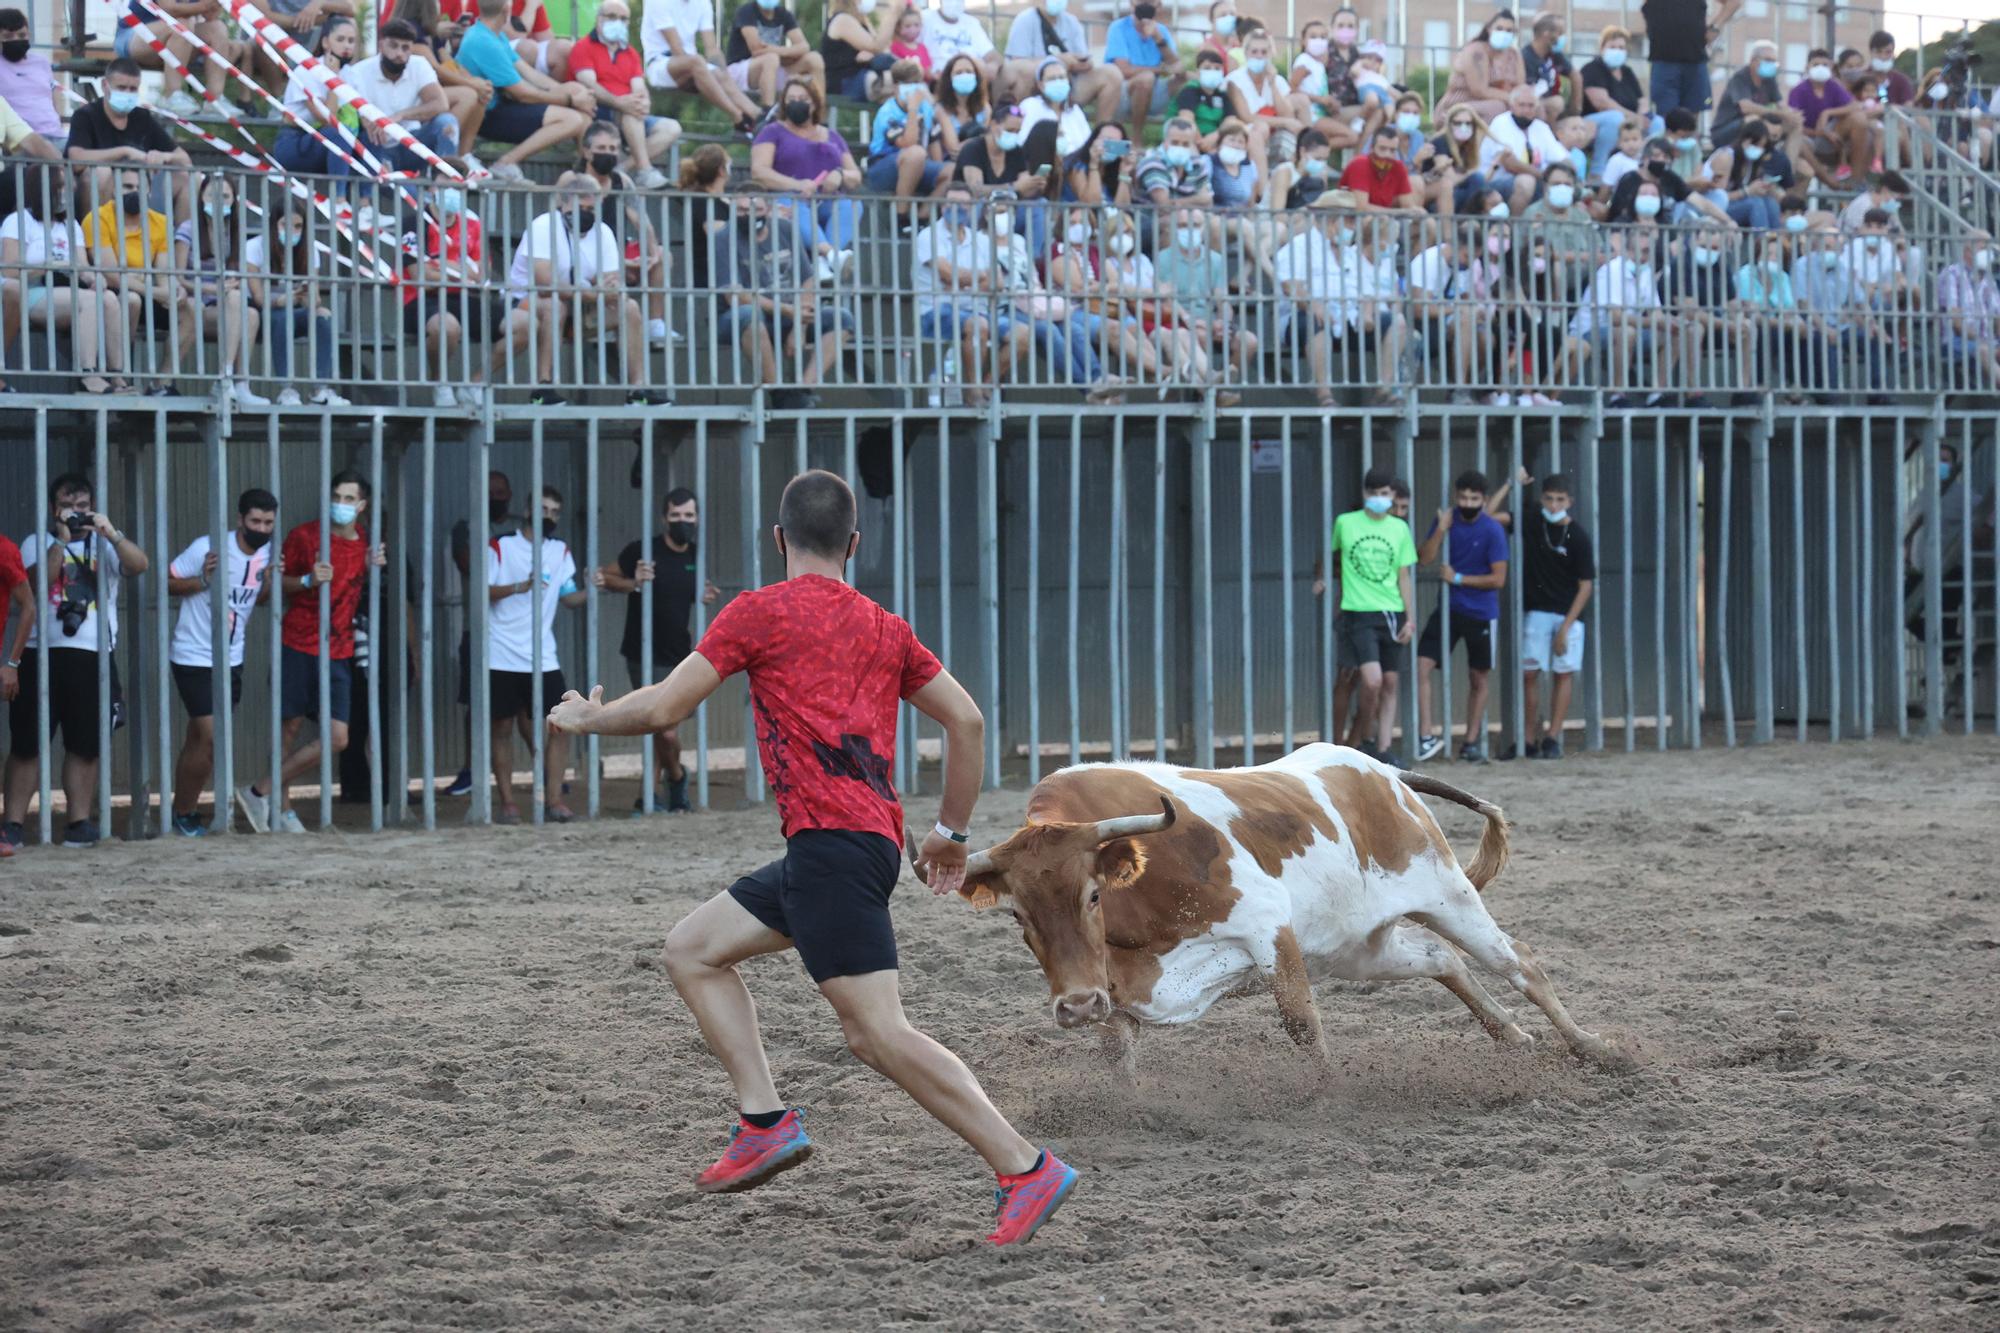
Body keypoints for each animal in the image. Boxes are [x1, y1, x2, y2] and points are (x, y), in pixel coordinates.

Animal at [908, 740, 1624, 1064]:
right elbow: (1118, 1051)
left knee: (1518, 961)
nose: (1074, 1006)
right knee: (1438, 960)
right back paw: (1512, 1035)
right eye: (1018, 915)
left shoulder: (1266, 929)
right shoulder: (1119, 984)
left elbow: (1301, 1023)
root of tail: (1385, 771)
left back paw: (1595, 1048)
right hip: (1359, 946)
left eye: (1090, 893)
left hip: (1448, 892)